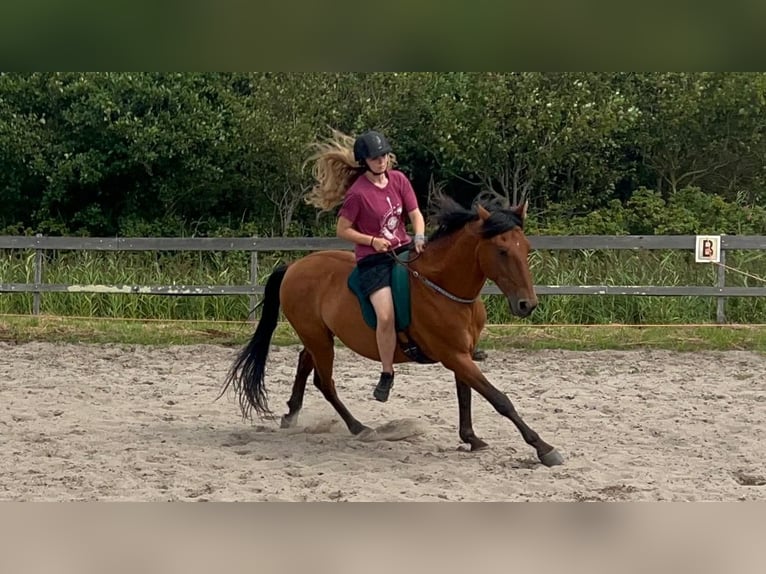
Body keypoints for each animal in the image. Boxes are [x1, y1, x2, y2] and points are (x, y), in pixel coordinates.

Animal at [222, 194, 564, 468]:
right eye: (502, 251)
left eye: (526, 248)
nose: (527, 304)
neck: (443, 288)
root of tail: (294, 266)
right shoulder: (454, 355)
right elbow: (499, 399)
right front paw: (543, 448)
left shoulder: (463, 354)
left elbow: (465, 395)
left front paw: (471, 438)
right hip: (320, 340)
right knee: (324, 382)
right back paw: (358, 427)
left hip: (318, 336)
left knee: (305, 364)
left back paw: (292, 414)